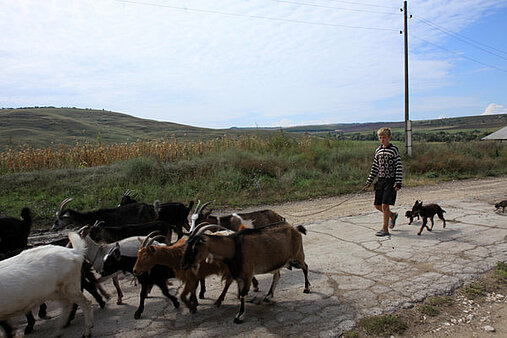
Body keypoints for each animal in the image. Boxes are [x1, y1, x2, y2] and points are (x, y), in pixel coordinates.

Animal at [181, 223, 312, 324]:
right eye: (187, 245)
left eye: (195, 248)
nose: (183, 265)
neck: (234, 247)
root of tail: (295, 228)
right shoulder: (239, 276)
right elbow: (240, 295)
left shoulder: (248, 274)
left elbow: (243, 294)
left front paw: (239, 317)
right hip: (278, 262)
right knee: (277, 276)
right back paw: (268, 296)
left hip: (298, 255)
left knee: (305, 267)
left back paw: (306, 288)